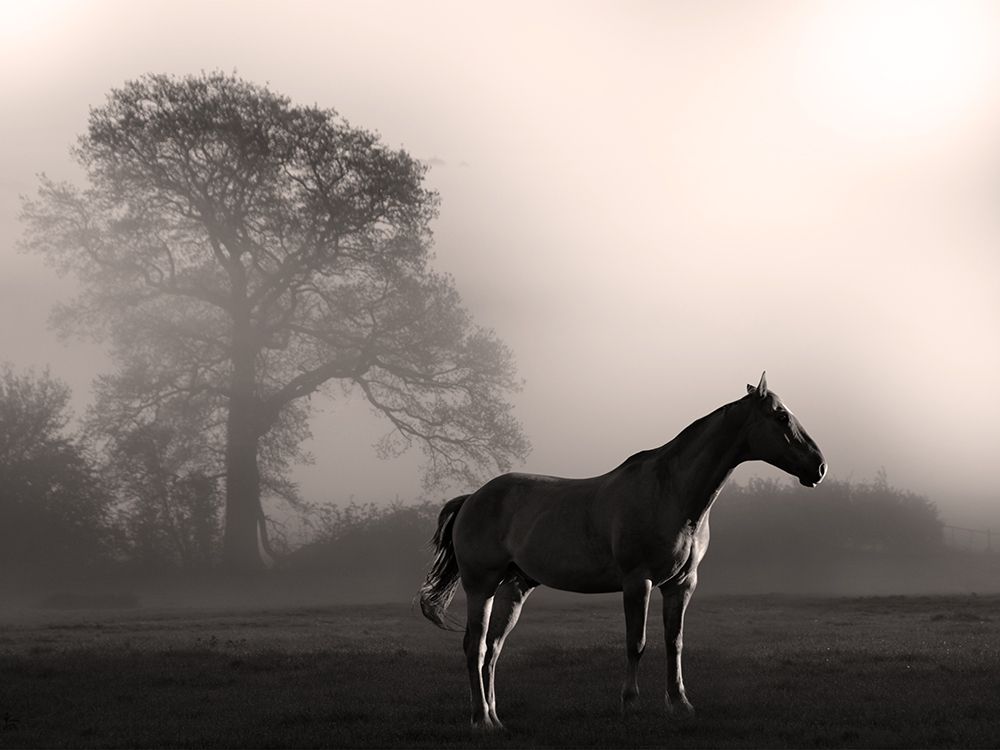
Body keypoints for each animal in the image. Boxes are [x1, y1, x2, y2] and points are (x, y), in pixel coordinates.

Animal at [418, 373, 826, 728]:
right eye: (781, 416)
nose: (819, 467)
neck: (671, 493)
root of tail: (473, 497)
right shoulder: (637, 582)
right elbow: (637, 643)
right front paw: (630, 703)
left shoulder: (682, 585)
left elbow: (674, 643)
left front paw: (680, 703)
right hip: (481, 586)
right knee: (475, 647)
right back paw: (480, 719)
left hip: (514, 588)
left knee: (493, 650)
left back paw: (495, 717)